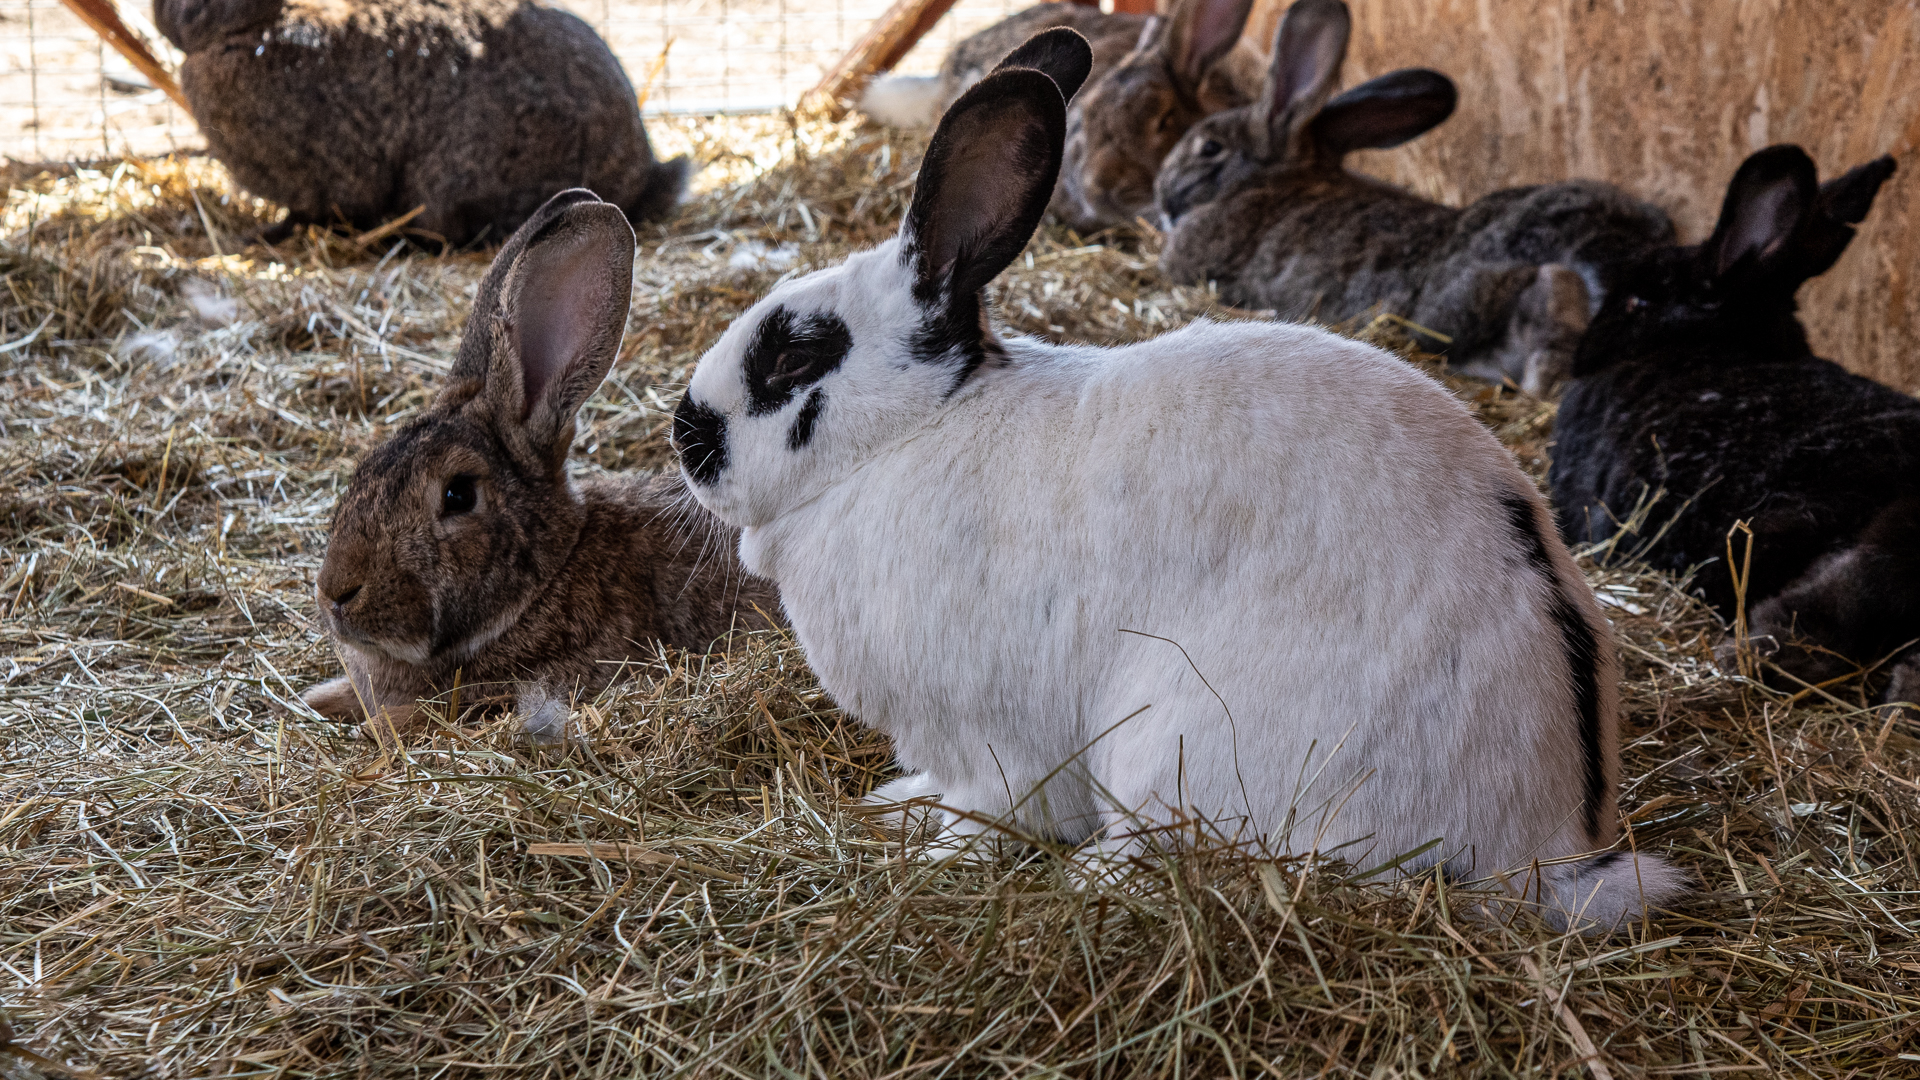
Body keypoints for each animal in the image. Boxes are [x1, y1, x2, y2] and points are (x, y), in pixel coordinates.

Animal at [301, 187, 779, 737]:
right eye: (364, 468)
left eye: (458, 494)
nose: (335, 593)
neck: (547, 580)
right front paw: (319, 701)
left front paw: (375, 727)